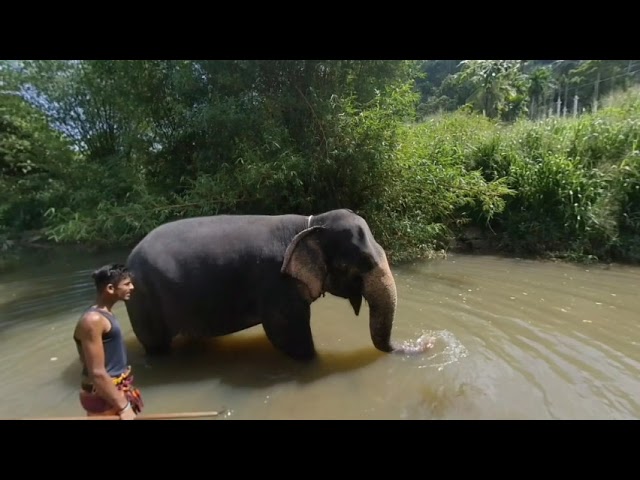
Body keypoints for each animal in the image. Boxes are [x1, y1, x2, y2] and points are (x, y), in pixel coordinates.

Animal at [122, 206, 432, 360]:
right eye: (354, 265)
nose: (427, 343)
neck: (310, 223)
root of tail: (127, 262)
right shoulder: (277, 282)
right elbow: (287, 334)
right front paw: (312, 360)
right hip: (144, 302)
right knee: (157, 346)